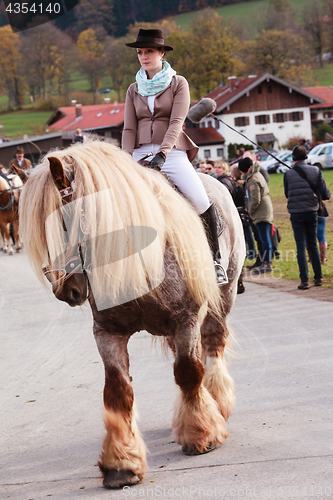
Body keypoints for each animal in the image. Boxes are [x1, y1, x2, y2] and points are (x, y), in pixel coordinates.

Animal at [18, 141, 244, 488]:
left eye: (65, 220)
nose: (67, 291)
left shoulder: (186, 320)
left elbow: (189, 372)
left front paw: (201, 433)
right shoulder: (108, 332)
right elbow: (117, 391)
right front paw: (121, 463)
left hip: (224, 296)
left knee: (212, 345)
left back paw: (217, 403)